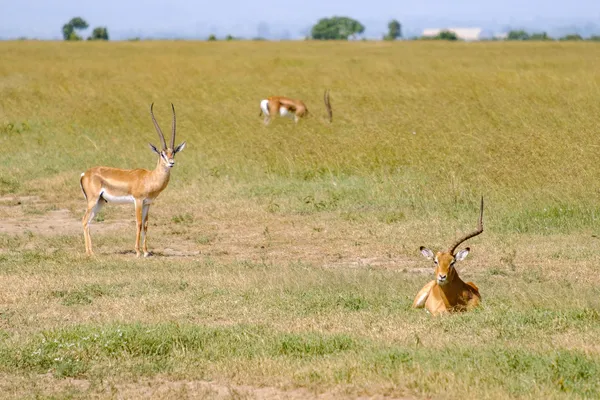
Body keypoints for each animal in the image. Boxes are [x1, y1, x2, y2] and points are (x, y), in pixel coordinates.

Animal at [79, 103, 185, 258]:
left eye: (174, 152)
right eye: (162, 153)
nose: (171, 163)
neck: (149, 178)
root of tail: (85, 174)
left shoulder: (148, 203)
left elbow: (146, 225)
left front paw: (146, 252)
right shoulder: (138, 201)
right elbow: (138, 223)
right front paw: (138, 252)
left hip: (100, 202)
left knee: (88, 222)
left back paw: (91, 252)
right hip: (92, 200)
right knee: (84, 220)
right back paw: (88, 253)